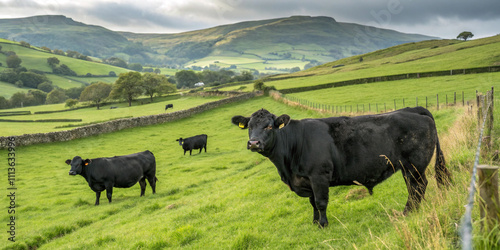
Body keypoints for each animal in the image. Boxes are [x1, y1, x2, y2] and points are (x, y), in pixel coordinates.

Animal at [232, 106, 452, 228]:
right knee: (415, 187)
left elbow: (320, 202)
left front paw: (323, 225)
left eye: (269, 126)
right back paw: (410, 211)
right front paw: (314, 222)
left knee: (418, 186)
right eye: (249, 127)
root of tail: (413, 109)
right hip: (408, 167)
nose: (253, 143)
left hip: (415, 164)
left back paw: (407, 212)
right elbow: (312, 203)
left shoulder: (319, 176)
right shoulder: (307, 180)